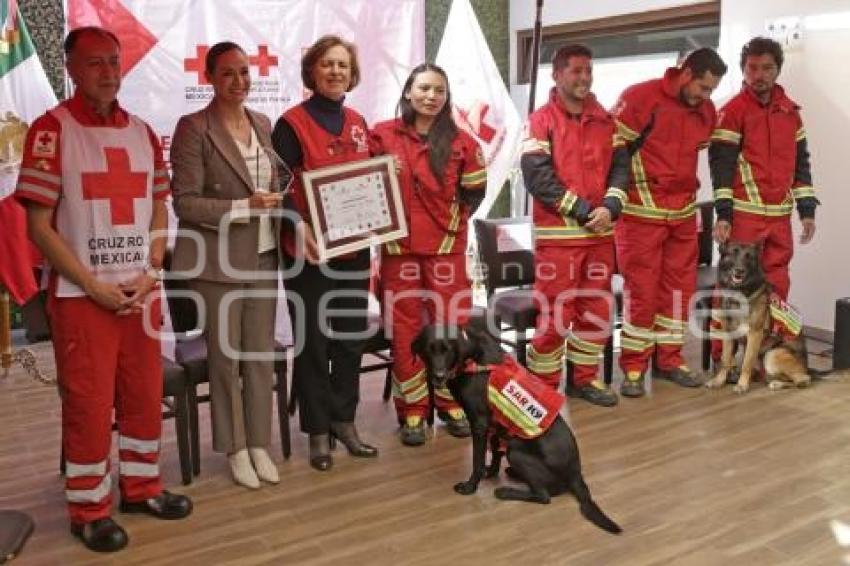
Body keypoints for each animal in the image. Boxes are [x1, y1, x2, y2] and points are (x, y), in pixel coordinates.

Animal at [408, 322, 620, 536]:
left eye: (448, 349)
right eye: (428, 350)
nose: (438, 376)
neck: (470, 358)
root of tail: (576, 475)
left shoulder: (479, 423)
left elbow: (477, 461)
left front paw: (470, 486)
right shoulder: (496, 420)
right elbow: (494, 451)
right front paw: (491, 472)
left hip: (516, 452)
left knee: (544, 496)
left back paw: (505, 491)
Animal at [704, 243, 808, 394]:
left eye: (749, 257)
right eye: (733, 253)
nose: (739, 271)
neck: (739, 293)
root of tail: (808, 367)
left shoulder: (754, 334)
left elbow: (746, 363)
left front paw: (742, 385)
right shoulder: (728, 333)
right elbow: (725, 360)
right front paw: (719, 381)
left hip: (772, 354)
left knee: (802, 380)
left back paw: (778, 384)